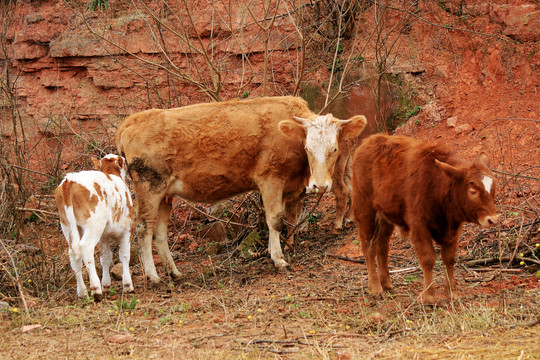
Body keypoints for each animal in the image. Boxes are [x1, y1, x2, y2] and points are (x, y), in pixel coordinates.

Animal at [54, 153, 135, 300]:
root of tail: (69, 180)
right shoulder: (128, 228)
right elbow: (125, 255)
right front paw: (127, 285)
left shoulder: (104, 236)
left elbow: (106, 258)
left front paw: (106, 285)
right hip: (94, 225)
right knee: (86, 248)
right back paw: (96, 289)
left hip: (67, 226)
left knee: (73, 255)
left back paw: (82, 292)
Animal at [115, 97, 364, 282]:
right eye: (308, 147)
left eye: (334, 148)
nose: (319, 185)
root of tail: (134, 120)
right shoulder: (270, 180)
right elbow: (275, 219)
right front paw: (278, 259)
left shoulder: (291, 187)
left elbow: (289, 218)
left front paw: (284, 247)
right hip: (149, 187)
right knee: (143, 228)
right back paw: (153, 276)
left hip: (165, 194)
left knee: (159, 233)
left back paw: (174, 272)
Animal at [350, 135, 498, 304]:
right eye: (473, 191)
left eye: (494, 187)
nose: (493, 219)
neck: (437, 183)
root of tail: (370, 140)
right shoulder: (419, 226)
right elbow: (428, 259)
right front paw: (430, 297)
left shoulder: (453, 228)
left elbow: (449, 259)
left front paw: (452, 294)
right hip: (365, 211)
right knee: (369, 248)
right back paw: (376, 289)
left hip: (385, 216)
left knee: (382, 246)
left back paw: (387, 284)